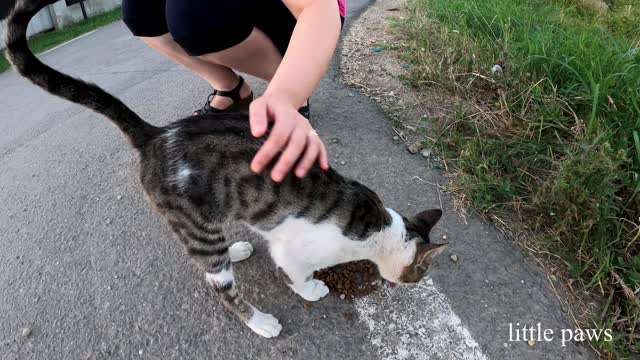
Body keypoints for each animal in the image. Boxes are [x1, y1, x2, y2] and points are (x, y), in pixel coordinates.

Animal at [5, 0, 448, 338]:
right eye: (422, 272)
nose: (415, 284)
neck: (377, 229)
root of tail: (157, 134)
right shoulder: (295, 251)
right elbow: (298, 276)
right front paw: (311, 291)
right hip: (195, 226)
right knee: (216, 282)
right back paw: (260, 322)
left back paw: (236, 248)